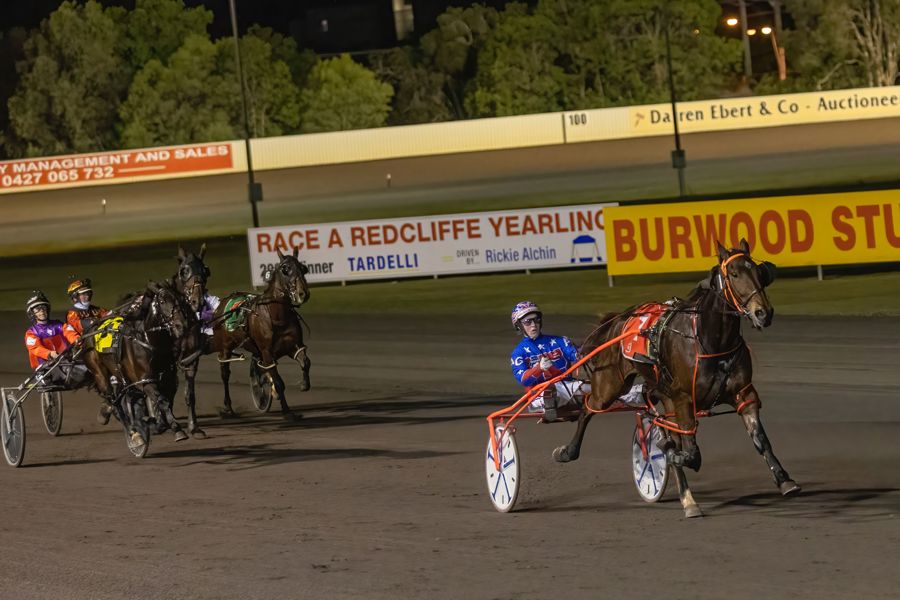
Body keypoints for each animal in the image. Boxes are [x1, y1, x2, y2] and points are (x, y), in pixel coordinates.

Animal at [208, 247, 311, 420]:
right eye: (285, 269)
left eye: (303, 269)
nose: (303, 294)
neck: (277, 316)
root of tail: (222, 304)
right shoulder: (267, 351)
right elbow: (278, 382)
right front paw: (287, 411)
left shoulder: (293, 345)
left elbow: (305, 362)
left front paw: (304, 384)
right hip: (225, 348)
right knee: (225, 375)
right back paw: (228, 408)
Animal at [555, 239, 799, 518]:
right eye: (734, 274)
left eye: (759, 272)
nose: (763, 313)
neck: (710, 340)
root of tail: (620, 319)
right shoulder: (683, 399)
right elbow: (689, 453)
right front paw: (670, 453)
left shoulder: (743, 393)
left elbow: (760, 440)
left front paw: (784, 479)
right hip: (609, 386)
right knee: (587, 409)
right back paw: (569, 451)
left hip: (659, 392)